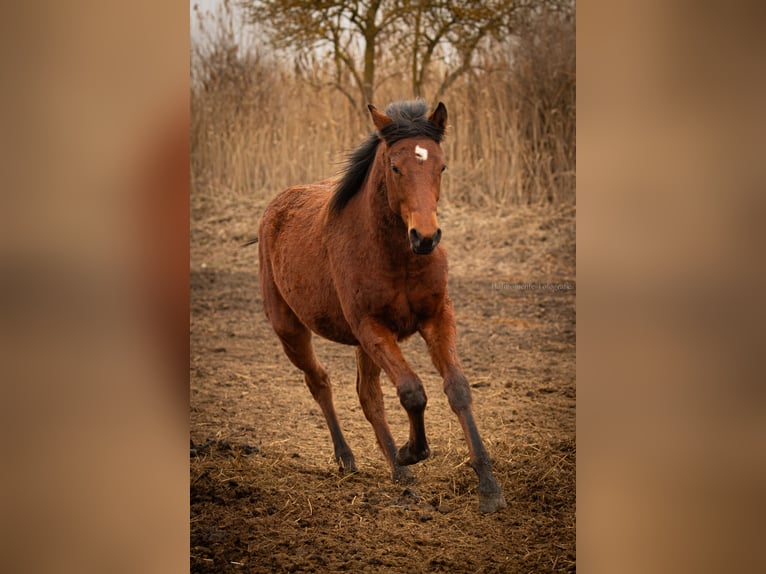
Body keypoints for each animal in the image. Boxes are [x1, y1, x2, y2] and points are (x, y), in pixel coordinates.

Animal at [257, 100, 506, 513]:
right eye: (395, 166)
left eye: (441, 165)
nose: (425, 237)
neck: (396, 254)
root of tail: (273, 210)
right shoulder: (372, 326)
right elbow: (412, 391)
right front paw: (412, 451)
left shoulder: (437, 318)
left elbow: (456, 388)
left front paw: (488, 485)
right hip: (290, 330)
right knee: (320, 382)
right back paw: (351, 458)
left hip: (362, 346)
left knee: (368, 396)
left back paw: (397, 471)